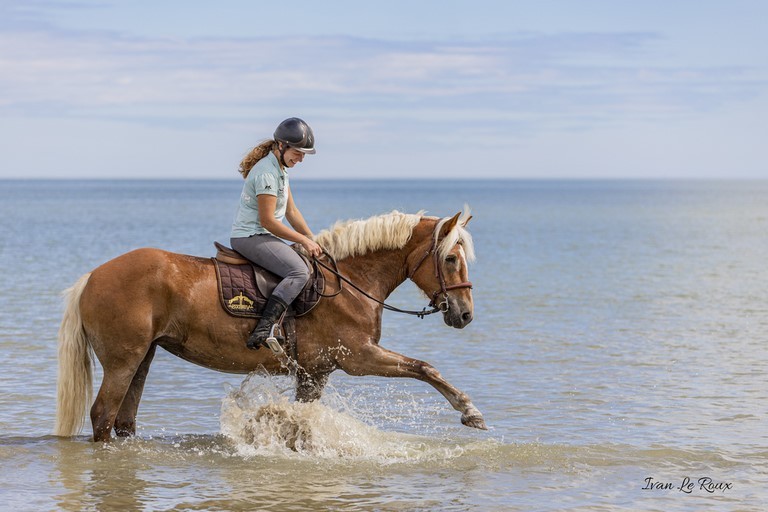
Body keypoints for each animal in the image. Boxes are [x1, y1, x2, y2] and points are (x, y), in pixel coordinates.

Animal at [55, 209, 486, 442]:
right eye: (450, 259)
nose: (464, 314)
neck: (348, 281)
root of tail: (92, 277)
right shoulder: (359, 357)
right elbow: (424, 368)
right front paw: (469, 410)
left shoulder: (315, 372)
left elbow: (303, 417)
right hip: (123, 361)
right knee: (103, 415)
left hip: (142, 358)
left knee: (123, 420)